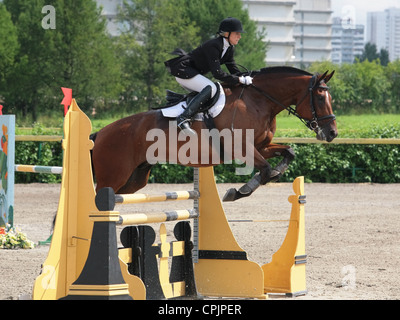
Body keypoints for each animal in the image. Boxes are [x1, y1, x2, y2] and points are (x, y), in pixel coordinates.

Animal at [90, 66, 338, 201]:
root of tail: (99, 134)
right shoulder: (241, 148)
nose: (332, 133)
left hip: (135, 178)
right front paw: (239, 191)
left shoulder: (260, 147)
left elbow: (288, 153)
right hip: (113, 176)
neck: (259, 101)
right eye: (320, 98)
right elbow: (266, 170)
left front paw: (272, 174)